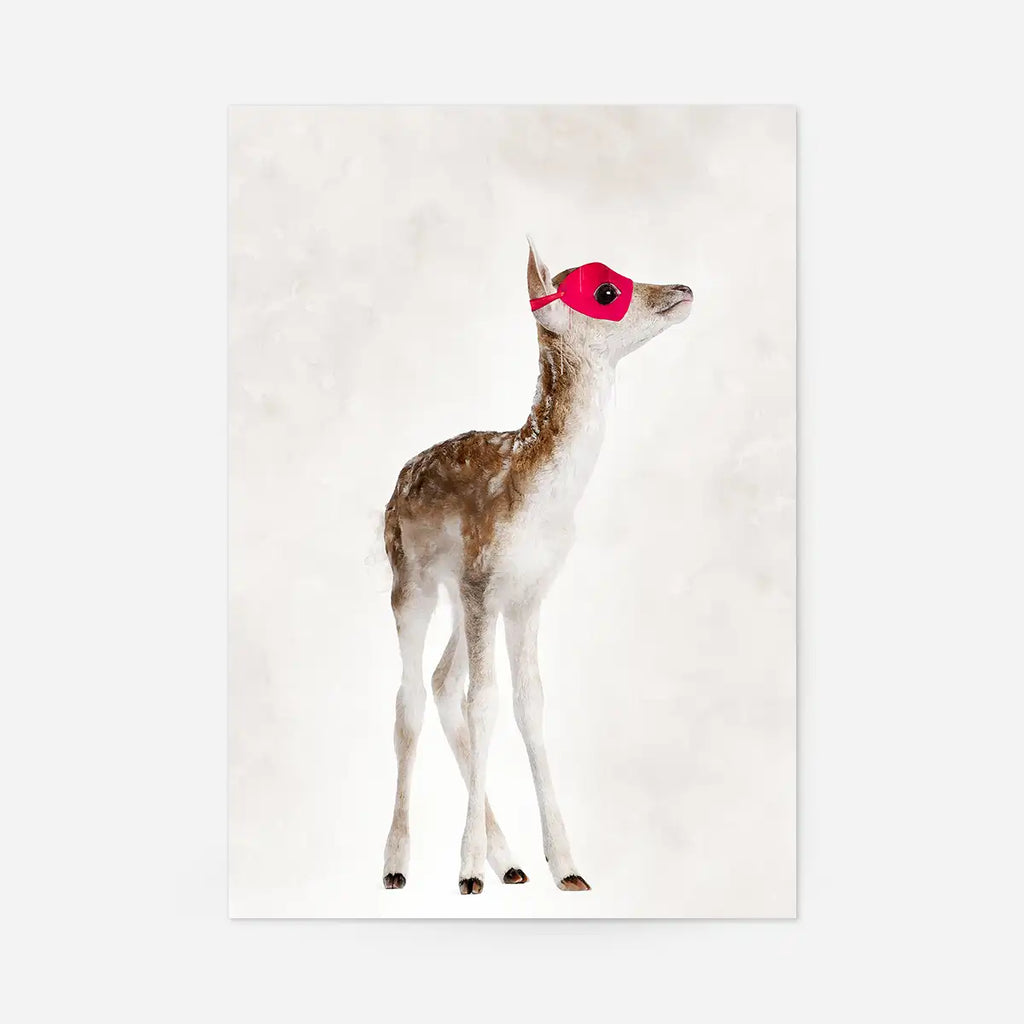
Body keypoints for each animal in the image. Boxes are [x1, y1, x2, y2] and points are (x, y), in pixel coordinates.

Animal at [381, 238, 693, 894]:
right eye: (605, 290)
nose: (682, 289)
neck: (538, 498)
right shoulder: (482, 580)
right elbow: (484, 702)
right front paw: (466, 872)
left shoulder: (526, 591)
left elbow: (529, 703)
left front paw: (567, 867)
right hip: (411, 580)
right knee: (409, 698)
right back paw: (398, 865)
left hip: (461, 595)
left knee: (441, 681)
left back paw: (511, 862)